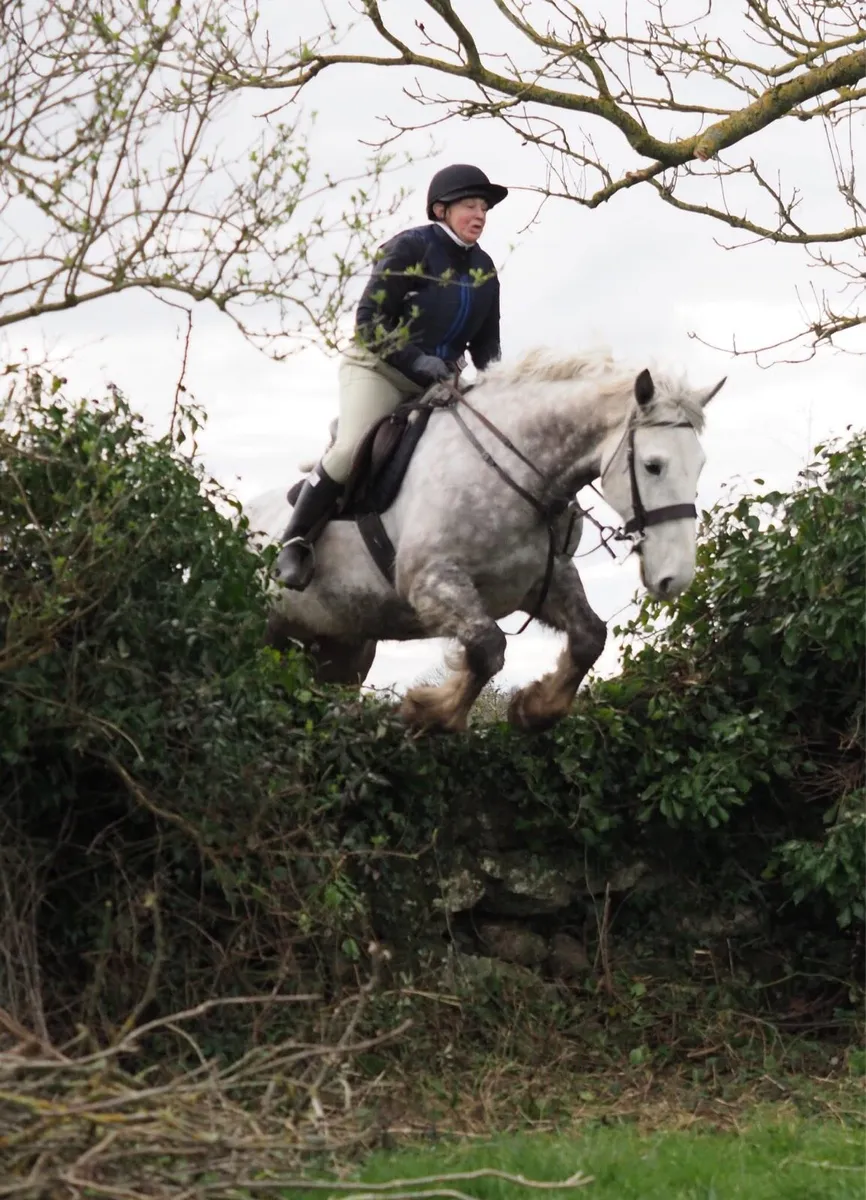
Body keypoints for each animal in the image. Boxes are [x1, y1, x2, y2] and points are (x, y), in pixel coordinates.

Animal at [243, 348, 726, 733]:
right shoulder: (430, 582)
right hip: (267, 627)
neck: (511, 469)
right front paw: (425, 711)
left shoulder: (542, 581)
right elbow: (488, 646)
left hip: (340, 648)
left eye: (701, 466)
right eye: (653, 465)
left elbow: (590, 636)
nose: (676, 578)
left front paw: (534, 707)